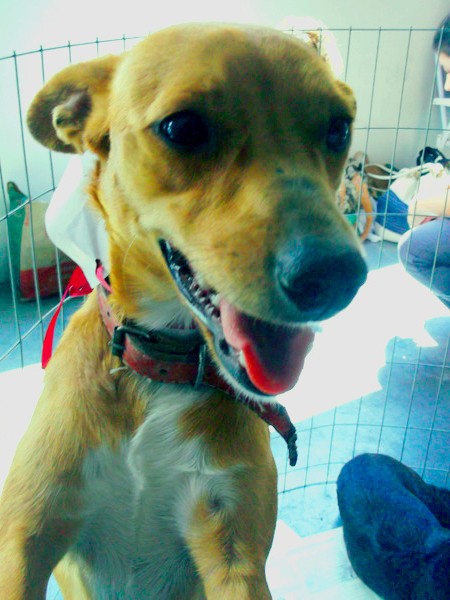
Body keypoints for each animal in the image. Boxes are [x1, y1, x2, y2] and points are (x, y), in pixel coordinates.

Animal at [0, 23, 367, 599]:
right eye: (183, 127)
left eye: (338, 128)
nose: (336, 276)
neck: (155, 375)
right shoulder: (27, 534)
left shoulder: (233, 548)